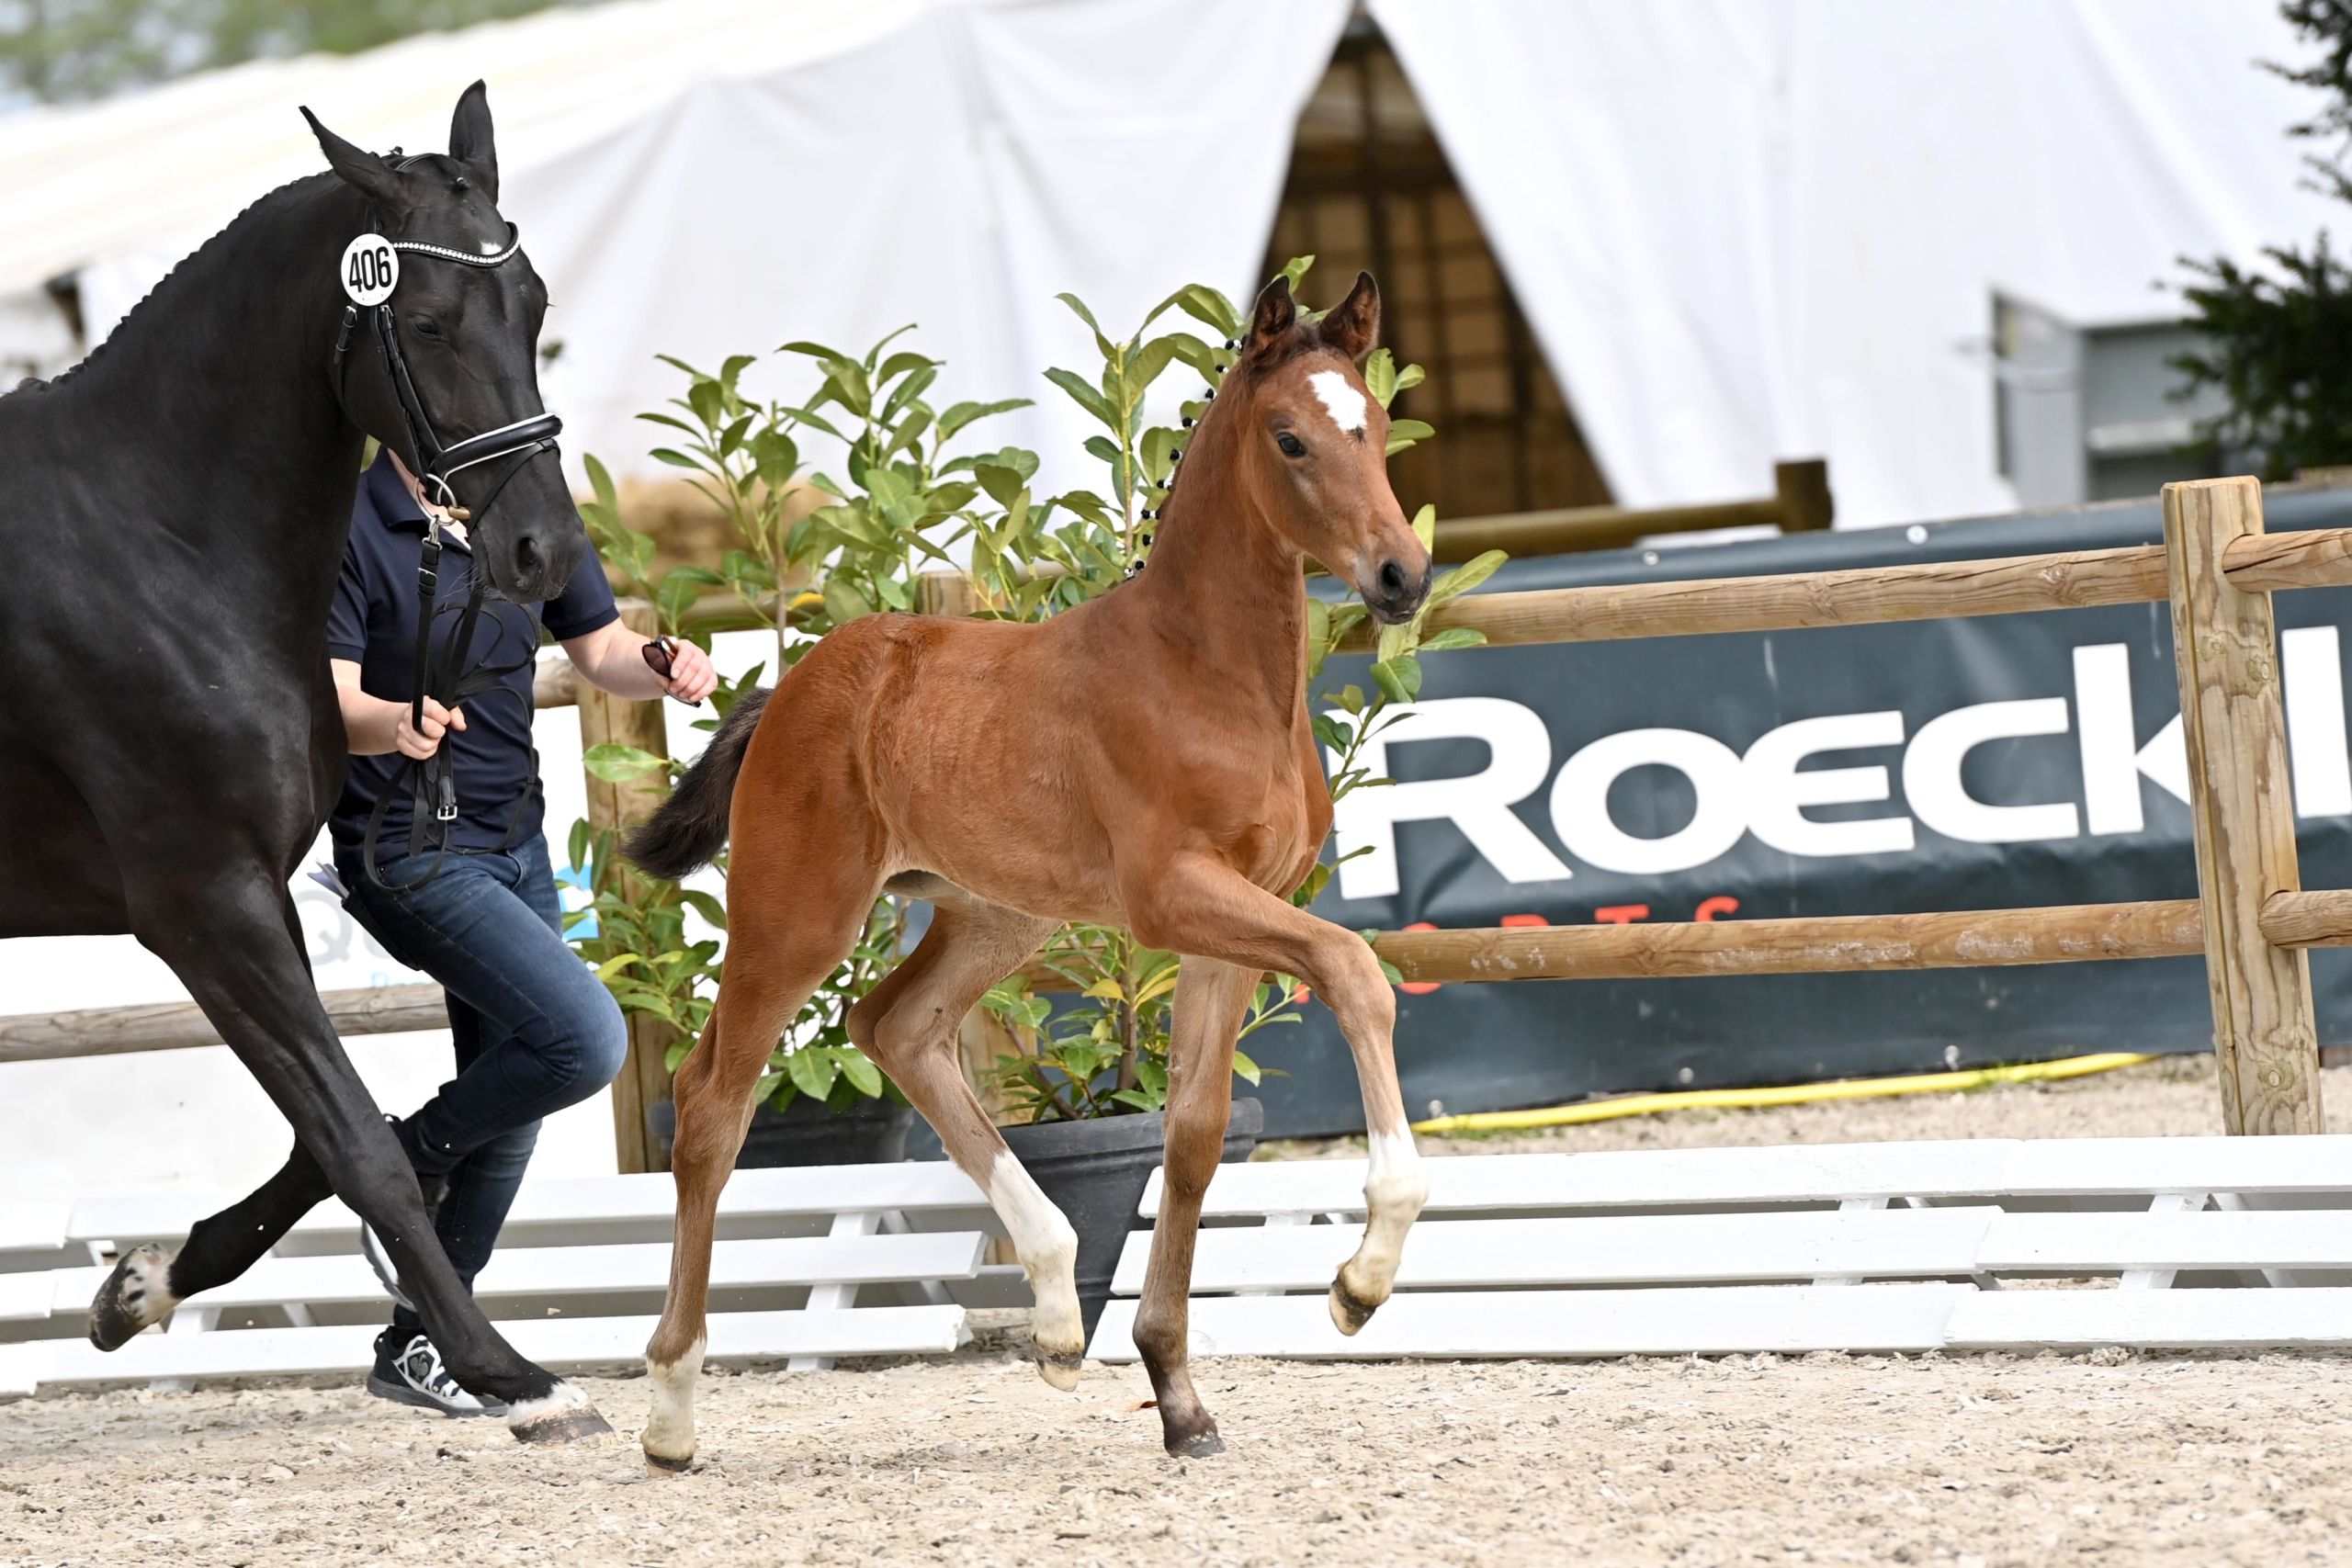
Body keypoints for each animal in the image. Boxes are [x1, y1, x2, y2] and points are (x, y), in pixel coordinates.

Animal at [0, 80, 616, 1438]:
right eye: (427, 322)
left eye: (536, 301)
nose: (543, 554)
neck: (148, 535)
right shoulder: (202, 902)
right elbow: (359, 1140)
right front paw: (506, 1369)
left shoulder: (260, 891)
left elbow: (345, 1126)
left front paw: (140, 1283)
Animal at [630, 276, 1430, 1466]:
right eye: (1290, 438)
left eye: (1372, 424)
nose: (1401, 576)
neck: (1208, 674)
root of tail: (789, 687)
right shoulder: (1175, 897)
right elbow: (1354, 971)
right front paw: (1359, 1283)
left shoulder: (1239, 913)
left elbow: (1193, 1137)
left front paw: (1178, 1397)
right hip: (795, 917)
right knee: (711, 1104)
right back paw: (672, 1412)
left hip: (1000, 918)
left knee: (896, 1029)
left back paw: (1056, 1312)